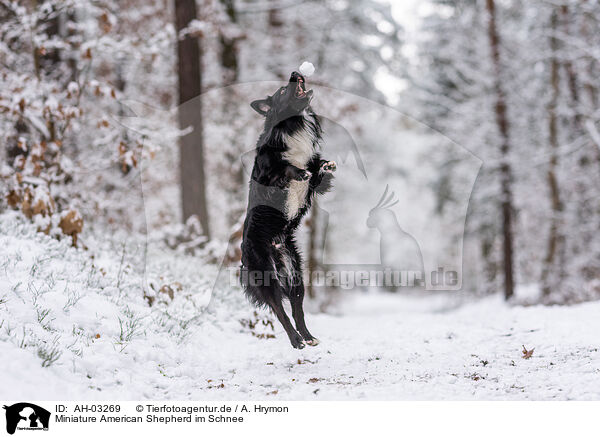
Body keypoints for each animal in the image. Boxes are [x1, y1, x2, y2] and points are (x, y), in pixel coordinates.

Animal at [240, 70, 336, 348]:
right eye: (283, 91)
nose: (296, 73)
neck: (294, 124)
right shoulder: (266, 173)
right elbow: (285, 168)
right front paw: (298, 171)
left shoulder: (316, 185)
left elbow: (319, 172)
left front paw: (326, 165)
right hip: (267, 275)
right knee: (280, 312)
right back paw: (296, 341)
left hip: (296, 276)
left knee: (297, 310)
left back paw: (308, 337)